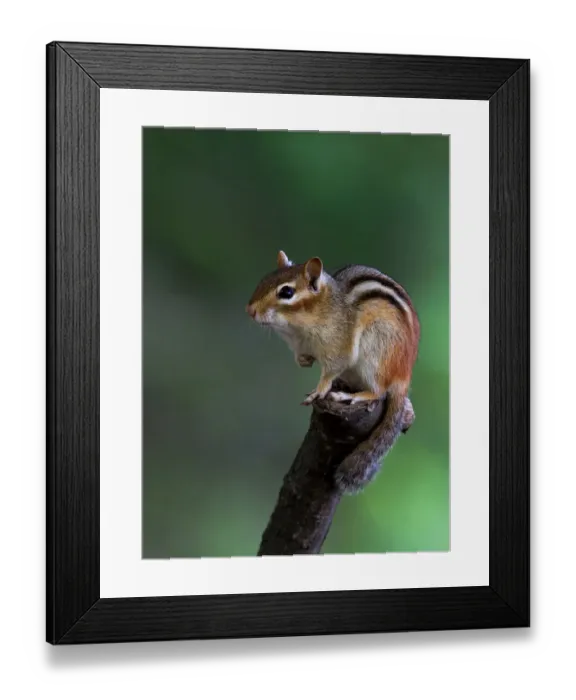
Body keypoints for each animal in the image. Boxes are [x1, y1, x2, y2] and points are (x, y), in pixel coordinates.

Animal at [246, 250, 421, 493]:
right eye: (264, 280)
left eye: (287, 292)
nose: (250, 310)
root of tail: (404, 377)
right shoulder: (300, 346)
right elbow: (303, 360)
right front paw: (305, 361)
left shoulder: (338, 348)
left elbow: (332, 370)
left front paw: (319, 390)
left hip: (376, 353)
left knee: (379, 391)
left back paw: (351, 395)